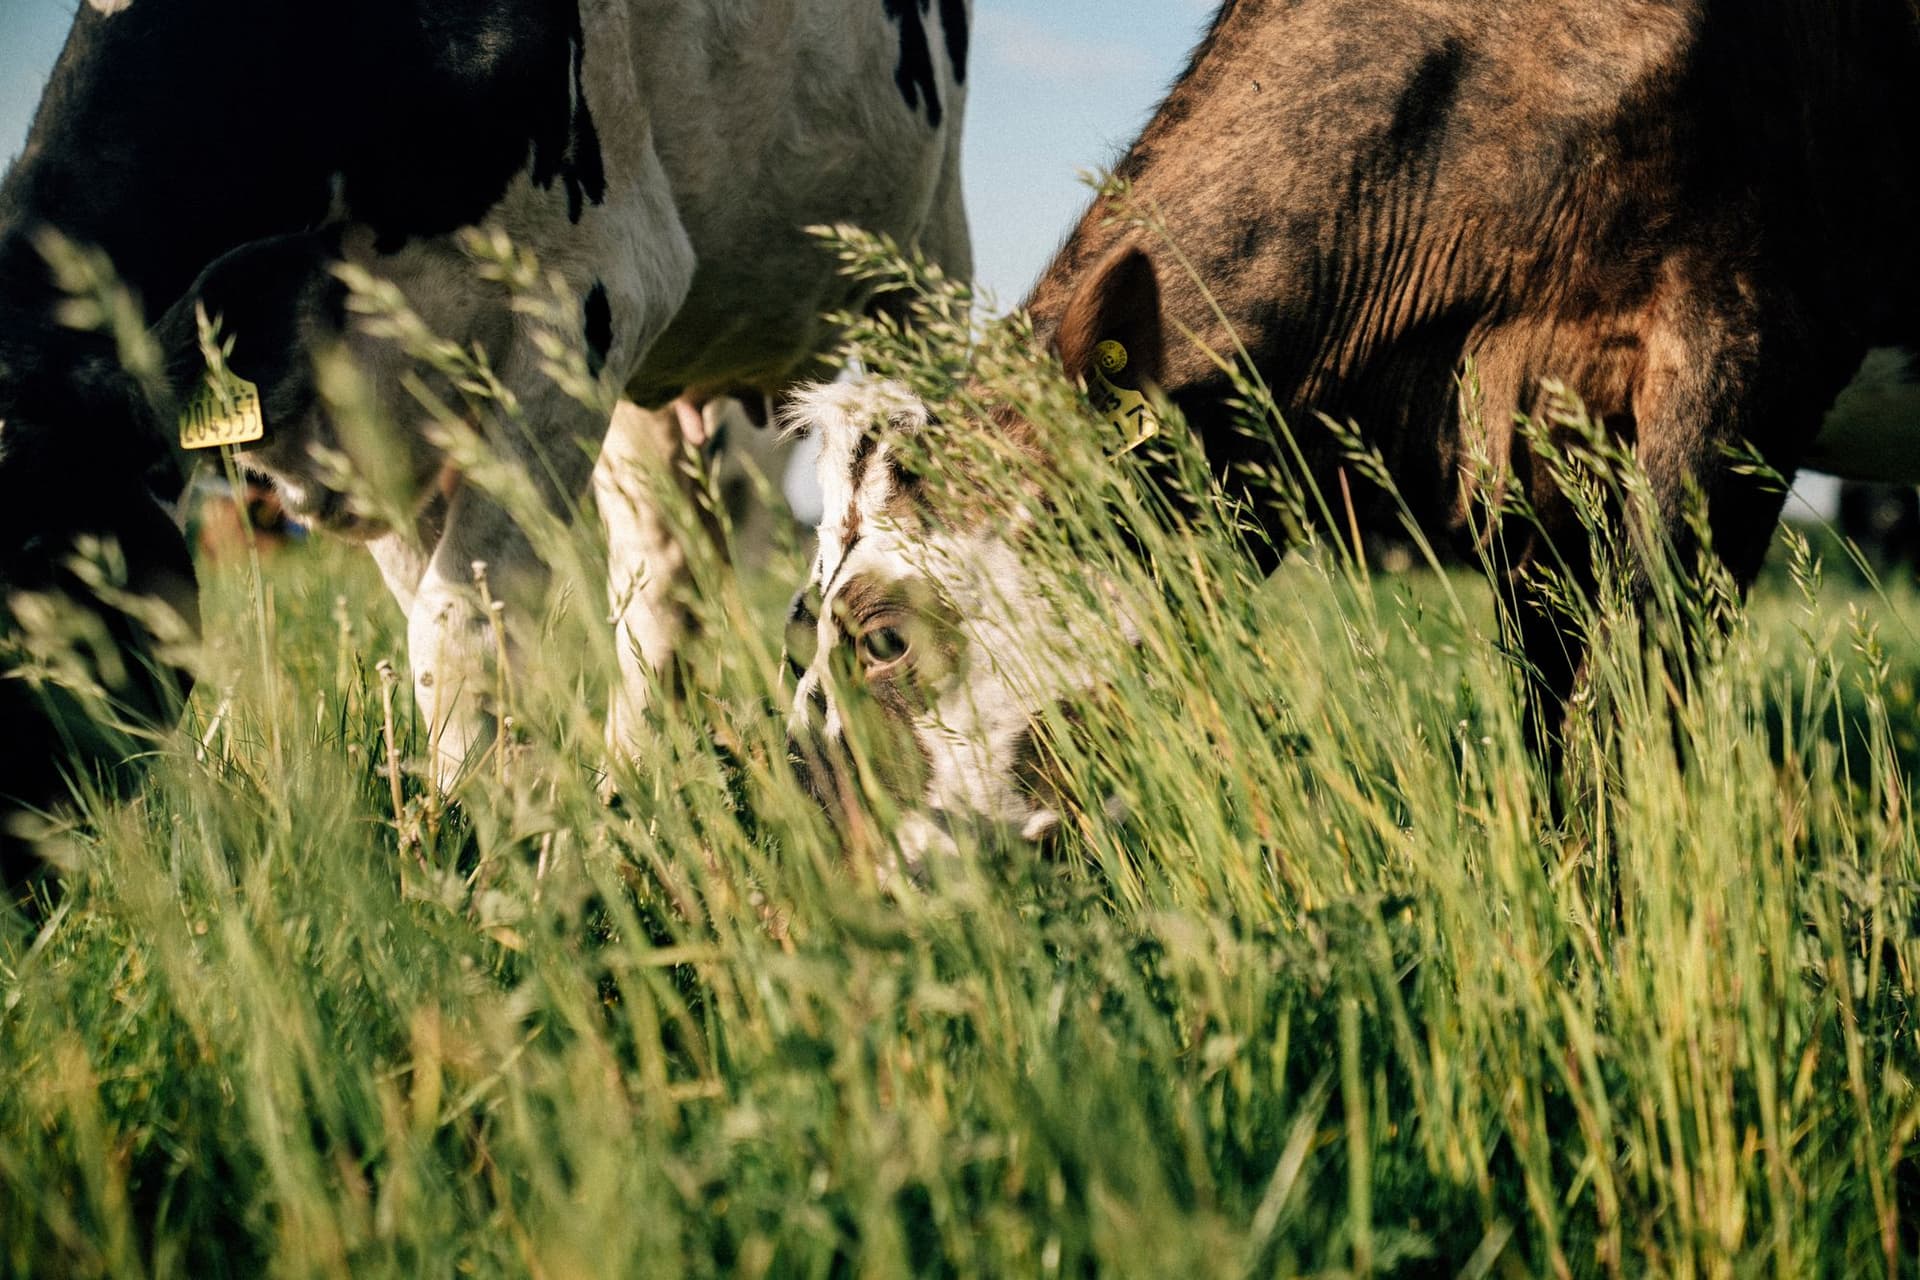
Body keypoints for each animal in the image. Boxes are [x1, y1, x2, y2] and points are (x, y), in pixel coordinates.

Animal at [0, 0, 971, 884]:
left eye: (49, 564)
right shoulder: (345, 431)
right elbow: (433, 615)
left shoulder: (589, 293)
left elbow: (459, 621)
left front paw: (493, 855)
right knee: (662, 576)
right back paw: (638, 789)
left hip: (924, 266)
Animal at [784, 0, 1920, 862]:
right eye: (800, 613)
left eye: (880, 636)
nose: (820, 838)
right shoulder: (1533, 459)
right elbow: (1553, 721)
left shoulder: (1745, 350)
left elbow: (1634, 707)